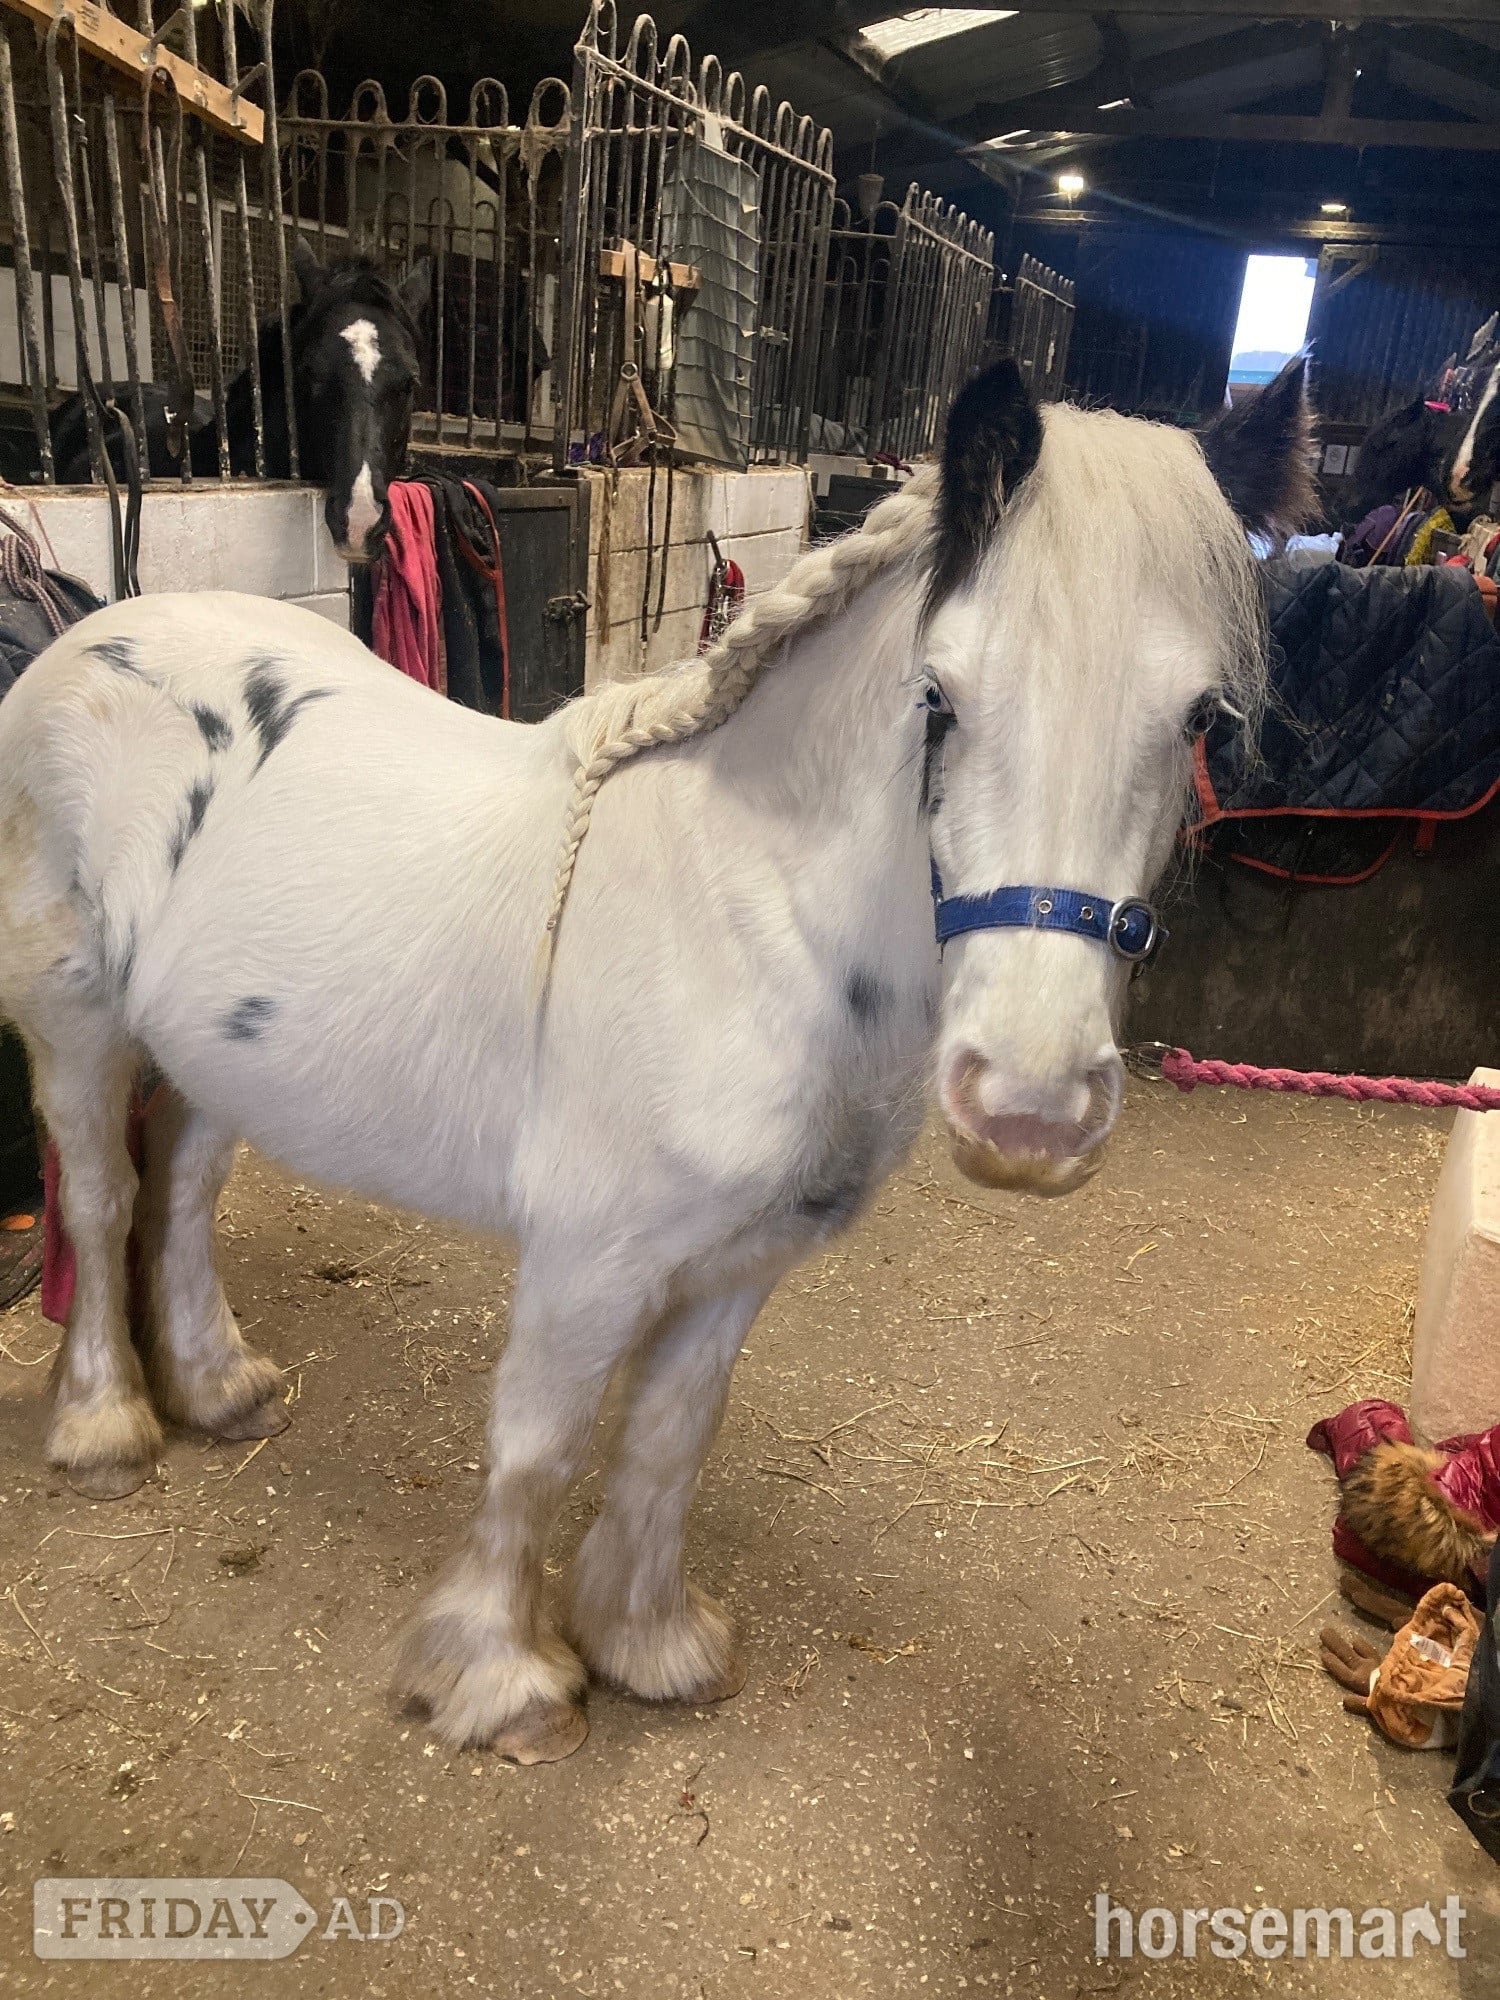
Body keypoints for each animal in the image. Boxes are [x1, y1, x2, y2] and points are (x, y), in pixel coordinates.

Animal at [0, 355, 1315, 1763]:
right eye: (941, 697)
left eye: (1201, 717)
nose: (1029, 1109)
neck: (748, 918)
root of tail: (81, 641)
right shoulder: (588, 1261)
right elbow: (539, 1446)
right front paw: (500, 1679)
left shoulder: (738, 1263)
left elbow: (670, 1439)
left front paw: (647, 1641)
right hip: (79, 1025)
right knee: (104, 1199)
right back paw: (105, 1427)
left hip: (208, 1054)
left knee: (183, 1193)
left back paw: (220, 1386)